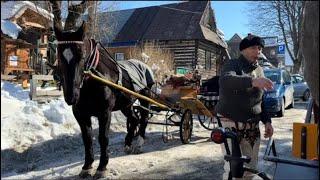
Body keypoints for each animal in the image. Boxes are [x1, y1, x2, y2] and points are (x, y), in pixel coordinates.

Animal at [53, 22, 154, 177]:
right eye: (59, 54)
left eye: (82, 55)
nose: (71, 96)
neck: (93, 79)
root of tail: (143, 64)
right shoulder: (81, 114)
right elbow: (87, 139)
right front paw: (87, 166)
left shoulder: (105, 112)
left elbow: (103, 138)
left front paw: (102, 167)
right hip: (126, 104)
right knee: (134, 119)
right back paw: (128, 144)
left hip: (145, 97)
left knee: (144, 118)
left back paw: (139, 143)